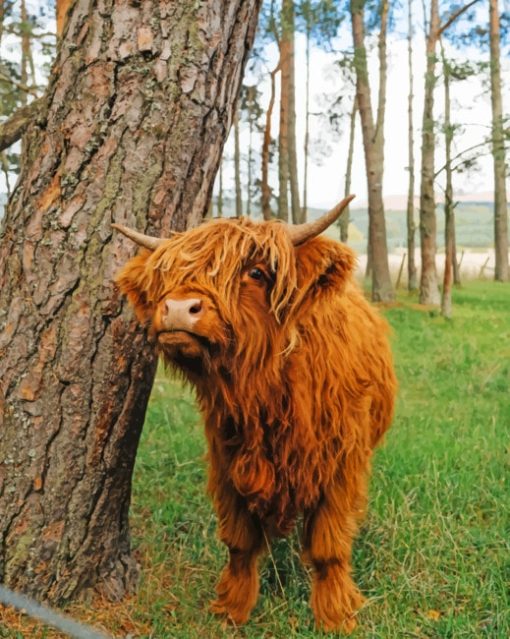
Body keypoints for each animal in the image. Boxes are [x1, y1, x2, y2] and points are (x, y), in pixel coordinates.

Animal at [113, 196, 396, 636]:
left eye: (256, 273)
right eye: (167, 276)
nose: (177, 309)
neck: (266, 394)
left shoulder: (340, 466)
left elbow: (328, 545)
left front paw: (335, 615)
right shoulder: (228, 461)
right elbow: (239, 541)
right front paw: (232, 608)